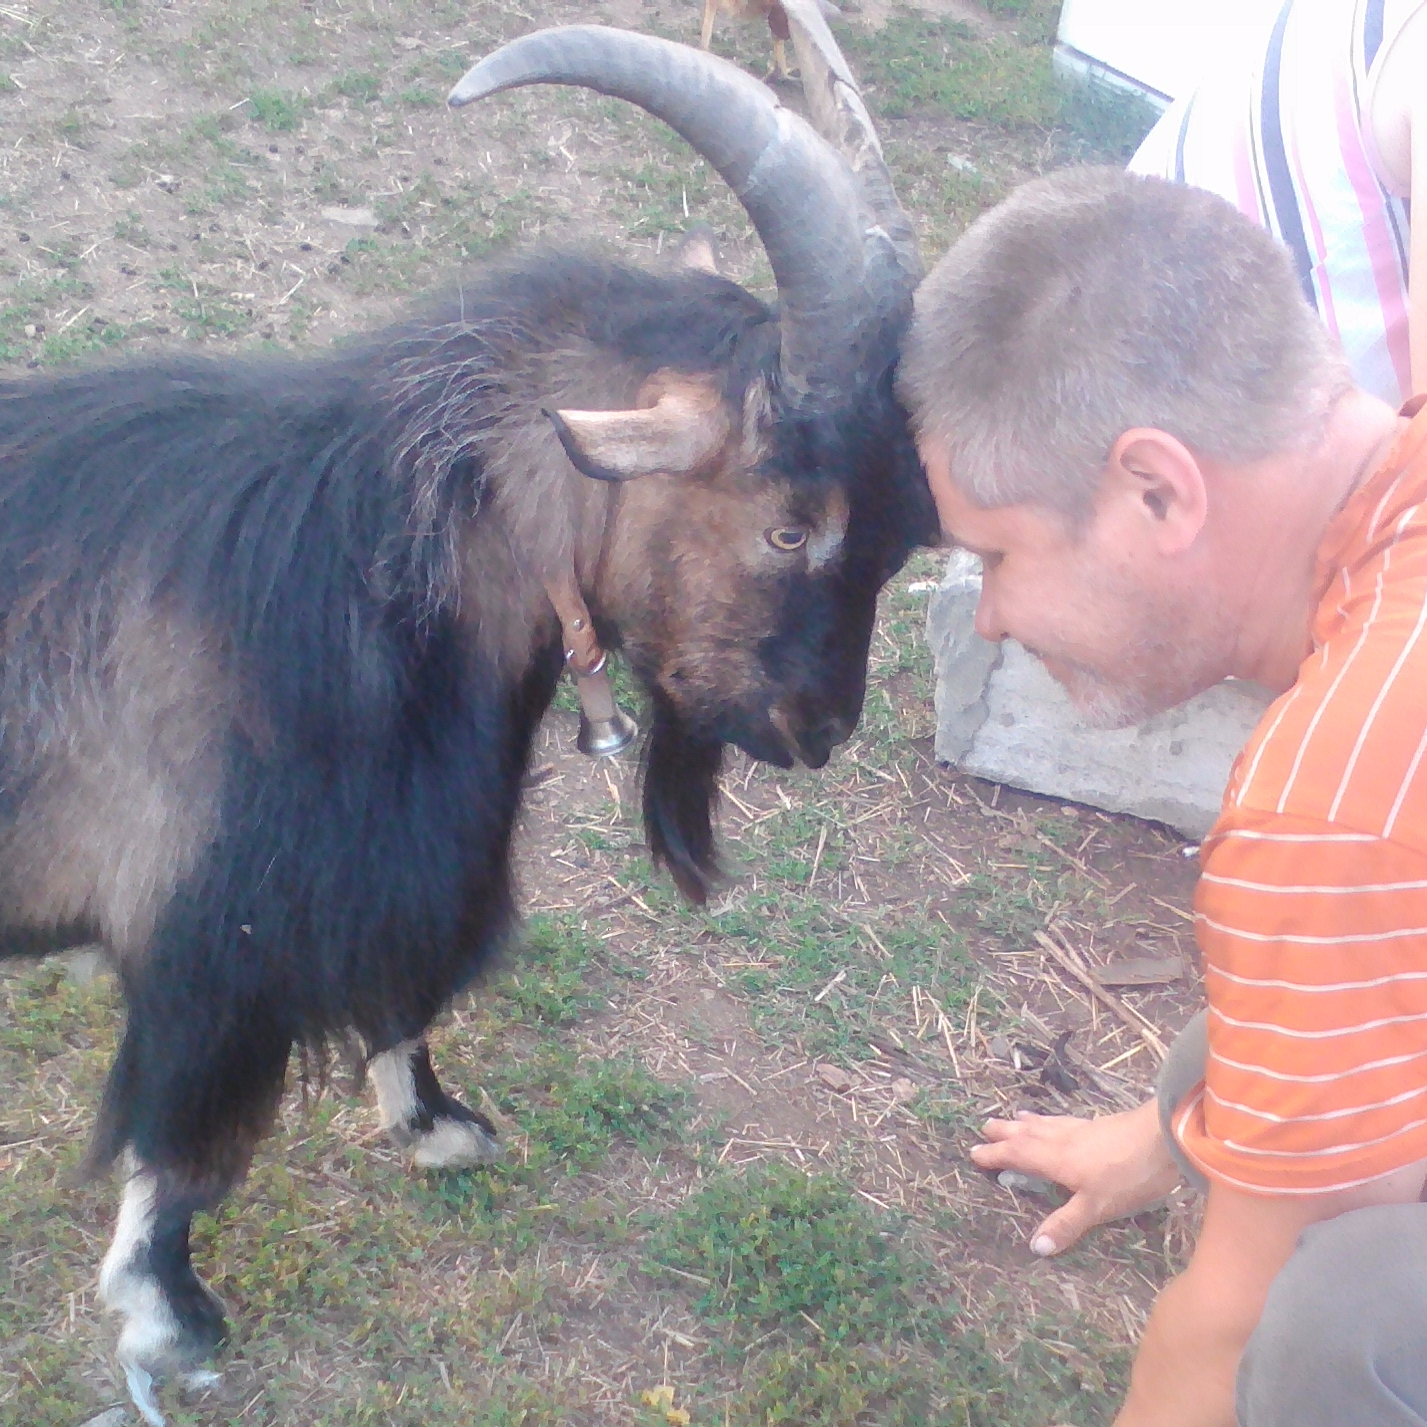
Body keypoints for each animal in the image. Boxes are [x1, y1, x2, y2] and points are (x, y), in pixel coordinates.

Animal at [0, 5, 936, 1421]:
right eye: (790, 525)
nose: (819, 729)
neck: (369, 558)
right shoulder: (221, 929)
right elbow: (187, 1131)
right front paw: (170, 1320)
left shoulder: (389, 870)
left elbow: (403, 995)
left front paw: (443, 1127)